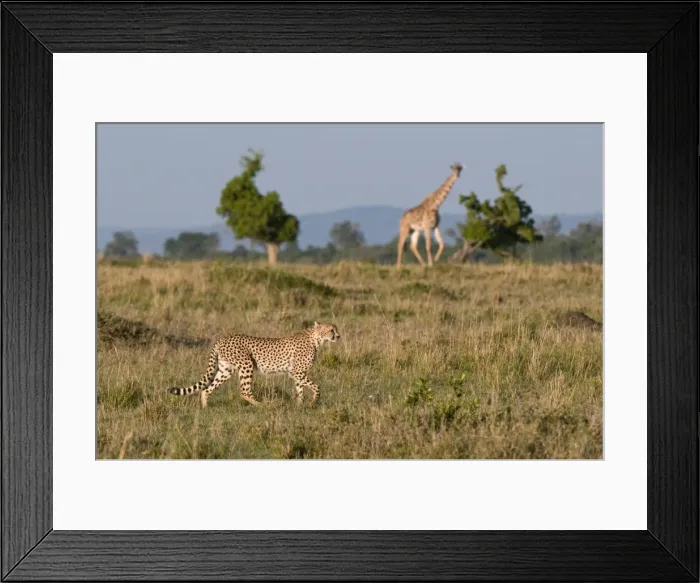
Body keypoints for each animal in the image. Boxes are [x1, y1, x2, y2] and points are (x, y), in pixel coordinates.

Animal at [166, 321, 340, 407]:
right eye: (331, 330)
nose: (338, 336)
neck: (316, 339)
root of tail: (222, 338)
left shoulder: (298, 374)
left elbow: (300, 389)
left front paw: (300, 406)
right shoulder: (296, 372)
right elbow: (316, 386)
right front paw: (314, 401)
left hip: (225, 370)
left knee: (206, 388)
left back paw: (205, 407)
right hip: (246, 365)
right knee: (244, 390)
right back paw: (261, 405)